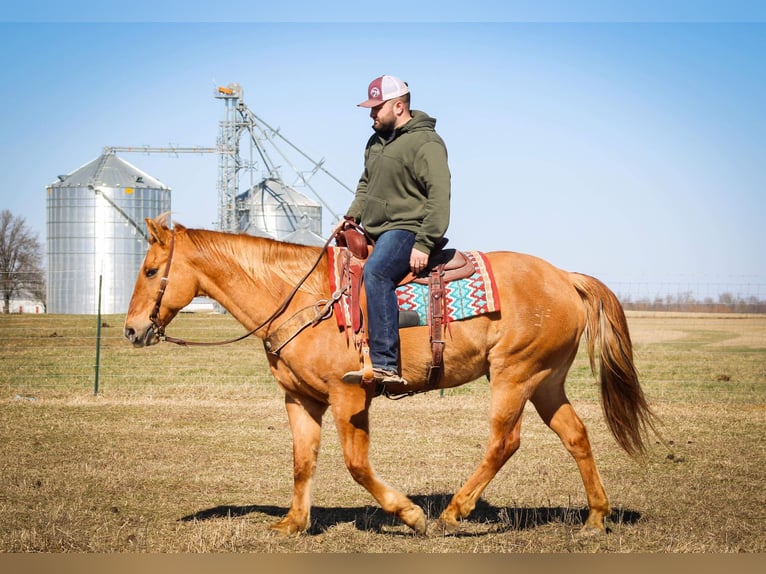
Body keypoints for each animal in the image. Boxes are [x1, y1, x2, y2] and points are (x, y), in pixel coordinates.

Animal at [123, 214, 656, 536]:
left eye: (149, 270)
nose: (131, 330)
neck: (303, 299)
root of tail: (565, 276)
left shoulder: (349, 398)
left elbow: (356, 465)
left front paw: (410, 514)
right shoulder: (300, 400)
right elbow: (302, 462)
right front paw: (293, 523)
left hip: (514, 375)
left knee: (505, 442)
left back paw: (452, 513)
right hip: (546, 381)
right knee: (576, 435)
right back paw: (595, 517)